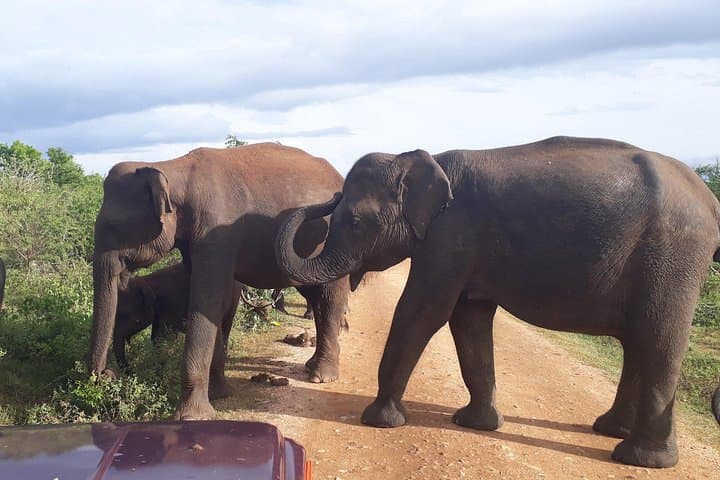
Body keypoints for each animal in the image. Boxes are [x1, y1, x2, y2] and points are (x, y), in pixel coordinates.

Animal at [112, 263, 242, 380]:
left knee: (226, 326)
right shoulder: (160, 312)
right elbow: (156, 338)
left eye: (124, 315)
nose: (131, 372)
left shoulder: (171, 305)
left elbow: (162, 337)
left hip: (233, 301)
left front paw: (160, 375)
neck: (147, 281)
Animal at [275, 136, 720, 468]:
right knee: (637, 341)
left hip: (673, 253)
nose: (329, 196)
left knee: (658, 338)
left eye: (354, 221)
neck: (420, 159)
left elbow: (423, 311)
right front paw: (477, 424)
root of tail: (709, 199)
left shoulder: (450, 235)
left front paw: (379, 421)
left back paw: (641, 459)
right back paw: (610, 431)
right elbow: (468, 318)